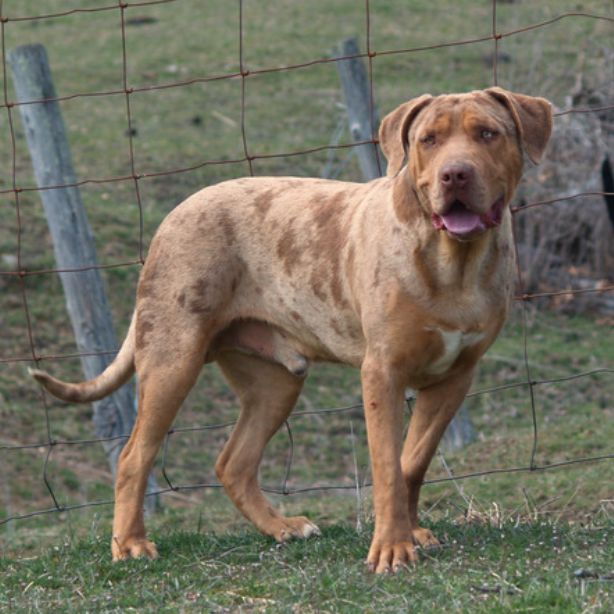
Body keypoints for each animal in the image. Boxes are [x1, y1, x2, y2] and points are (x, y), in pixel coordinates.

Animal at [31, 89, 556, 576]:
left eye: (487, 133)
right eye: (429, 140)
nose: (455, 174)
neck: (454, 262)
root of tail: (176, 212)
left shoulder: (454, 379)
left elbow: (412, 462)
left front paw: (411, 533)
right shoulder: (382, 373)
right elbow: (388, 467)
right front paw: (391, 548)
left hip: (274, 382)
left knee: (233, 462)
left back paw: (280, 527)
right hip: (172, 361)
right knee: (134, 455)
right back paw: (131, 544)